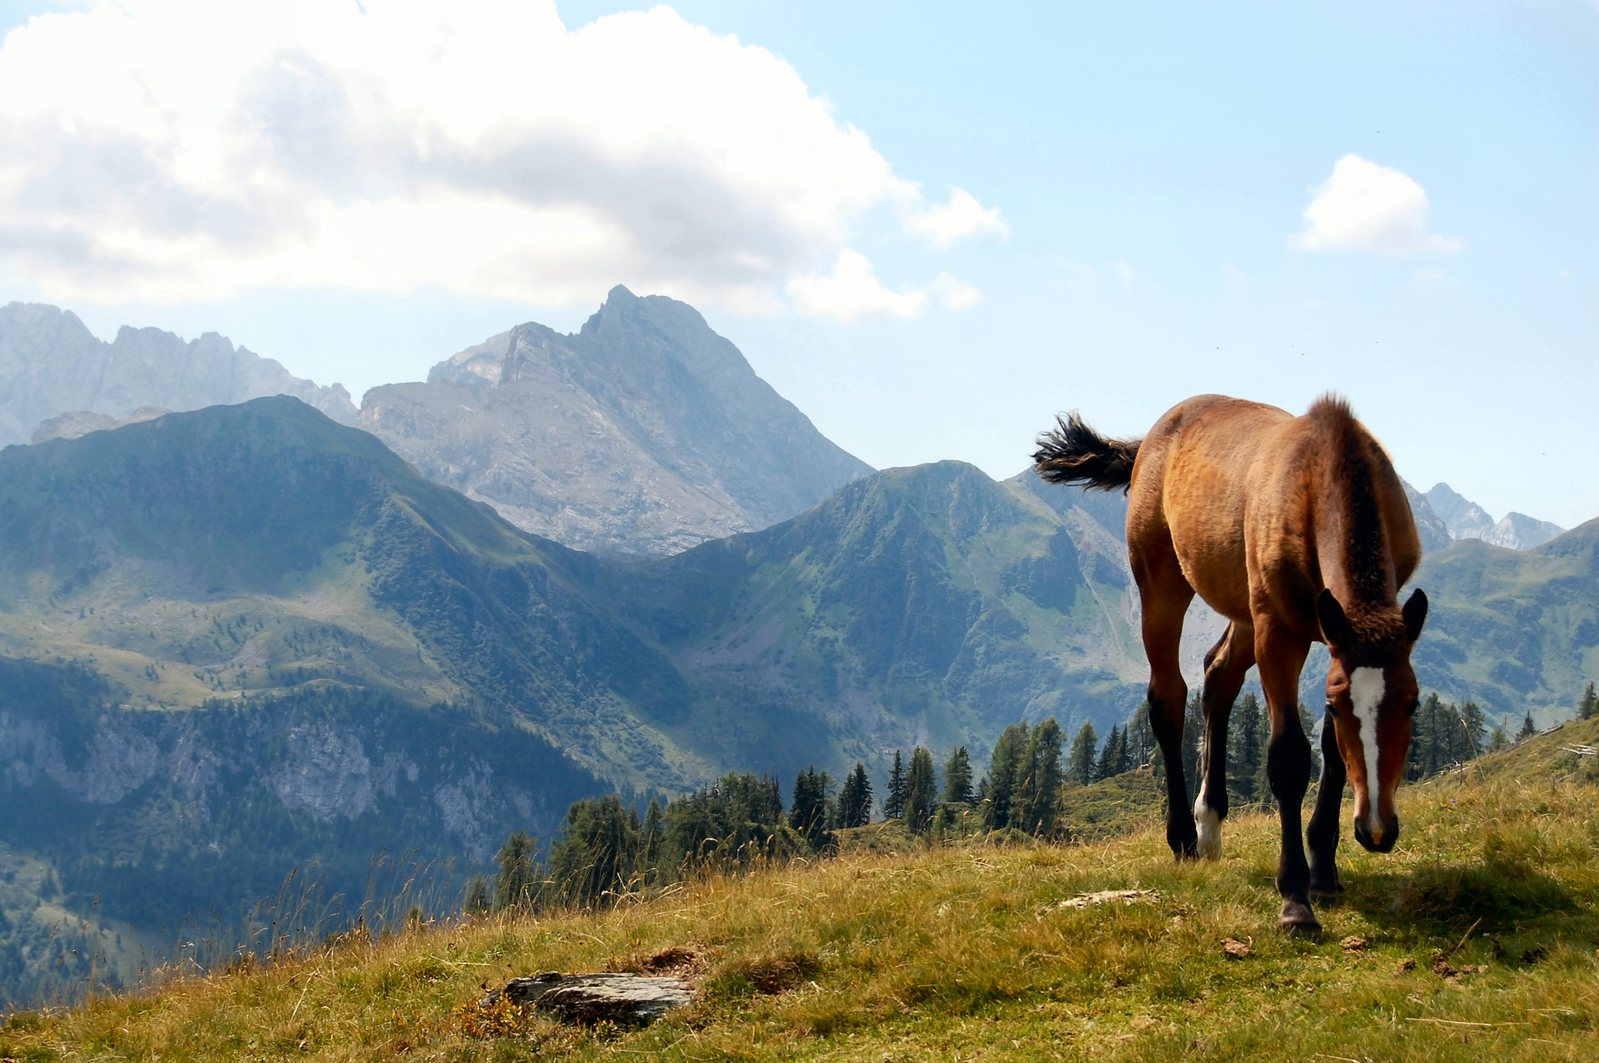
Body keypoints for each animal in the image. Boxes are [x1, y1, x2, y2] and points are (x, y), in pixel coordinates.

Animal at [1029, 393, 1432, 933]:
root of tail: (1150, 439)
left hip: (1244, 607)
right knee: (1168, 697)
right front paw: (1295, 901)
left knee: (1217, 676)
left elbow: (1332, 750)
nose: (1377, 830)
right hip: (1164, 586)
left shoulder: (1331, 639)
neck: (1323, 473)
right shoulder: (1278, 633)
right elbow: (1288, 757)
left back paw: (1210, 822)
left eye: (1412, 706)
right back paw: (1183, 835)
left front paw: (1324, 870)